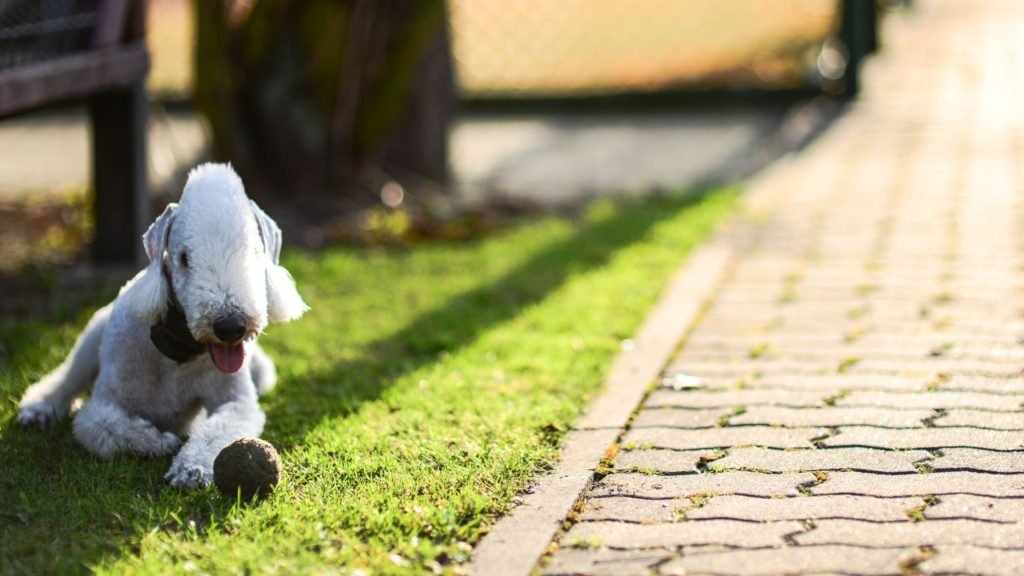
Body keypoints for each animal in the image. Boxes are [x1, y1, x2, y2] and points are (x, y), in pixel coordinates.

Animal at [18, 162, 305, 487]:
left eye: (256, 253)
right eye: (184, 258)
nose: (231, 327)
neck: (176, 350)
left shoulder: (236, 401)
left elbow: (219, 428)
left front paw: (191, 468)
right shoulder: (105, 401)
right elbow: (102, 425)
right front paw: (159, 441)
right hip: (93, 334)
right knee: (69, 376)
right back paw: (38, 410)